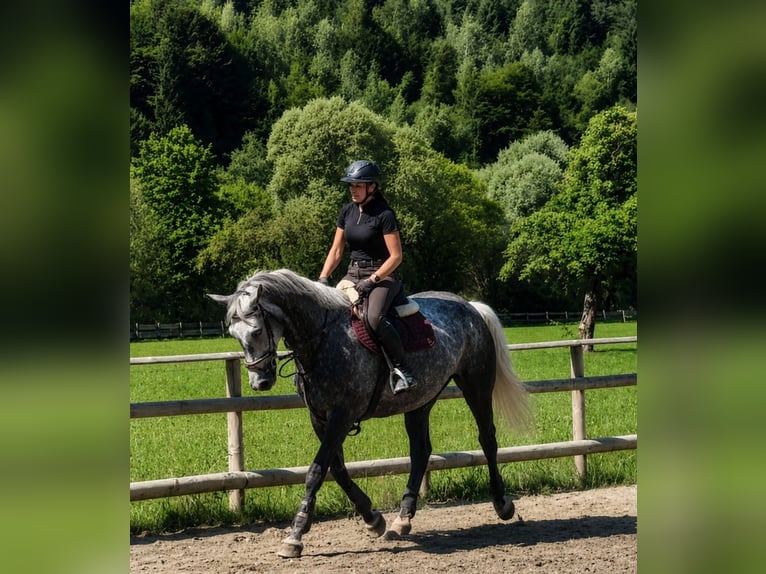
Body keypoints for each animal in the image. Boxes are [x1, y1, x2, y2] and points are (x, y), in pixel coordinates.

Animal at [208, 269, 529, 558]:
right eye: (234, 334)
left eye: (256, 330)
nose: (259, 381)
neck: (323, 339)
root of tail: (469, 307)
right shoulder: (320, 418)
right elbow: (336, 469)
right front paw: (373, 519)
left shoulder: (342, 415)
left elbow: (316, 471)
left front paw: (295, 535)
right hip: (420, 400)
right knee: (420, 451)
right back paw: (402, 519)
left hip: (476, 385)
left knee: (487, 439)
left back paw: (502, 504)